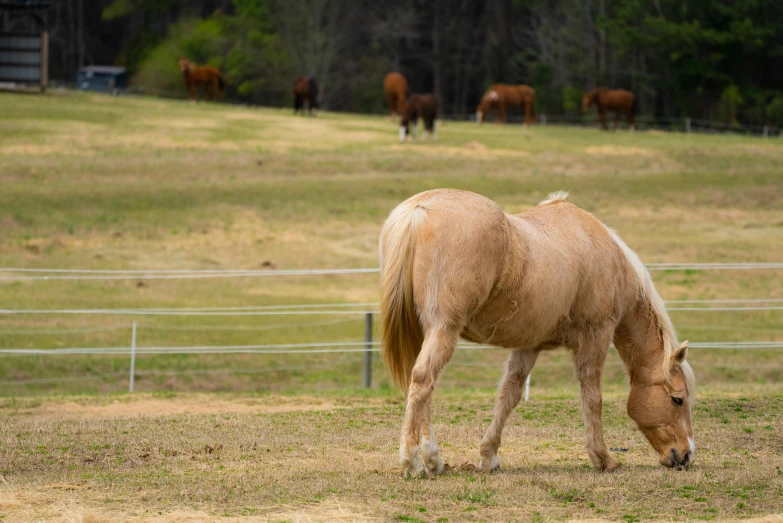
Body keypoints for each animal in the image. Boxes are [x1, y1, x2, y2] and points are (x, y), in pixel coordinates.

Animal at [382, 189, 696, 478]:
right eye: (677, 399)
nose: (685, 455)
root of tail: (419, 210)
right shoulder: (595, 336)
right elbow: (592, 398)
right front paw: (603, 459)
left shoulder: (528, 346)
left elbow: (509, 395)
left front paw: (489, 456)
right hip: (444, 329)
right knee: (423, 380)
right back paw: (415, 461)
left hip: (429, 332)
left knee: (423, 387)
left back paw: (433, 461)